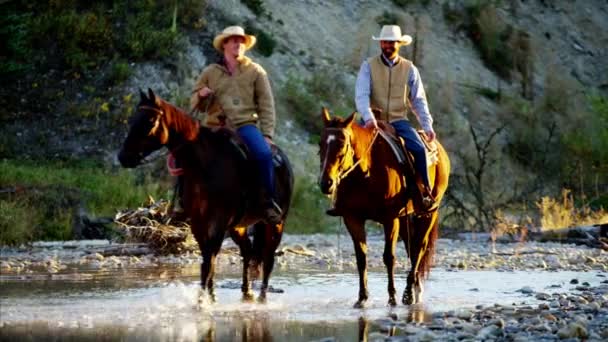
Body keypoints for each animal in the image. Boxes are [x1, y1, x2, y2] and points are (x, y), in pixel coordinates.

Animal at [117, 89, 294, 302]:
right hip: (238, 226)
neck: (204, 166)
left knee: (268, 258)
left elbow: (210, 259)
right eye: (134, 118)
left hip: (276, 223)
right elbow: (208, 259)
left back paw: (261, 297)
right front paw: (209, 296)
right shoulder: (198, 222)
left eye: (150, 121)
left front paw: (203, 301)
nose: (123, 157)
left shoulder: (219, 221)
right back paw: (246, 291)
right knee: (248, 251)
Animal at [320, 108, 448, 306]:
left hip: (429, 212)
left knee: (419, 247)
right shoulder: (353, 219)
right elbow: (361, 258)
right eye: (321, 144)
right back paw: (415, 288)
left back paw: (409, 293)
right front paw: (362, 298)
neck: (366, 173)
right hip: (405, 217)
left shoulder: (390, 219)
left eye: (341, 145)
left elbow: (389, 257)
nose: (326, 183)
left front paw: (392, 297)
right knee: (411, 248)